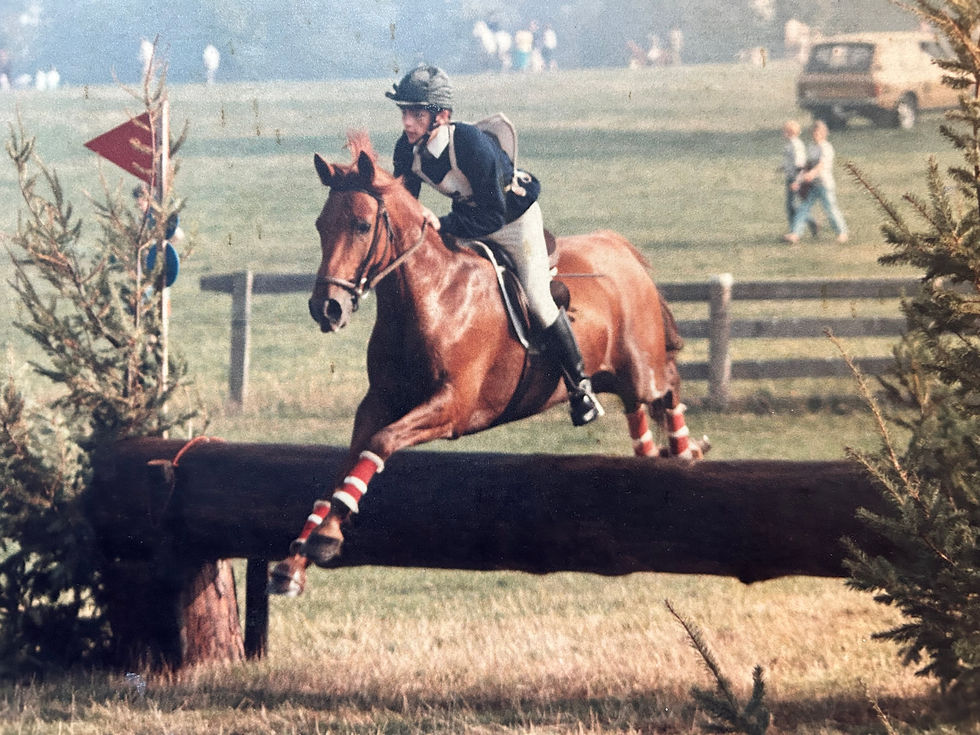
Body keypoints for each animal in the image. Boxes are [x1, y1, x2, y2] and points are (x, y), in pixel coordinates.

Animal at [268, 131, 706, 596]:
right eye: (321, 225)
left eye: (362, 226)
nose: (326, 308)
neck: (430, 294)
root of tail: (618, 246)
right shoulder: (379, 401)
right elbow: (349, 462)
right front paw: (298, 558)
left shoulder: (452, 407)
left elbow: (381, 443)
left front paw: (325, 538)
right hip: (618, 375)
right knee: (638, 406)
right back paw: (652, 452)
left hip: (641, 366)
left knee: (668, 387)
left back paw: (686, 453)